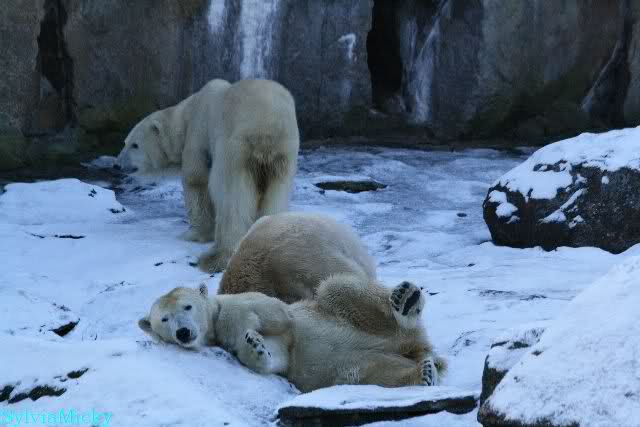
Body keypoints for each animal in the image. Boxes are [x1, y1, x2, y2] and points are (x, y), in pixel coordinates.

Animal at [117, 79, 300, 272]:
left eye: (135, 145)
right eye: (125, 142)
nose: (117, 164)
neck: (187, 115)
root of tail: (268, 126)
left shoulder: (198, 136)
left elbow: (196, 181)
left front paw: (192, 234)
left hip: (235, 148)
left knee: (230, 199)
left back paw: (215, 258)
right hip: (283, 157)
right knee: (275, 196)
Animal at [138, 280, 446, 392]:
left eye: (187, 306)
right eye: (163, 319)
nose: (183, 332)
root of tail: (414, 345)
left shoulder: (261, 303)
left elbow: (275, 314)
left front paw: (247, 330)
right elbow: (279, 357)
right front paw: (255, 346)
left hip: (354, 317)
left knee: (340, 289)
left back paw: (406, 300)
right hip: (358, 365)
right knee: (374, 372)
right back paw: (423, 373)